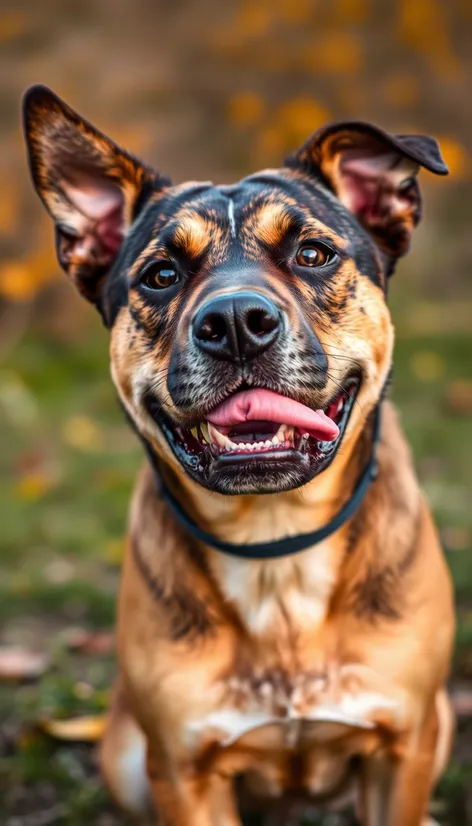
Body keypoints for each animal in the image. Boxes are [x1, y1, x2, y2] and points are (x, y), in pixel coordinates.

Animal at [24, 85, 456, 824]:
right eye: (161, 274)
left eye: (313, 254)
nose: (233, 323)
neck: (276, 548)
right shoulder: (183, 769)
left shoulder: (404, 745)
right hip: (127, 755)